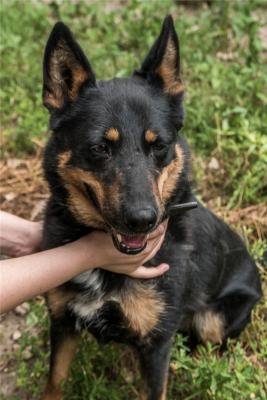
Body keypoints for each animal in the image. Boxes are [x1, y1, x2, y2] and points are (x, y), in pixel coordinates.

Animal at [40, 15, 262, 400]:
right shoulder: (63, 323)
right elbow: (55, 382)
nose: (143, 220)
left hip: (214, 319)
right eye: (99, 148)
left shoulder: (157, 347)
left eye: (158, 145)